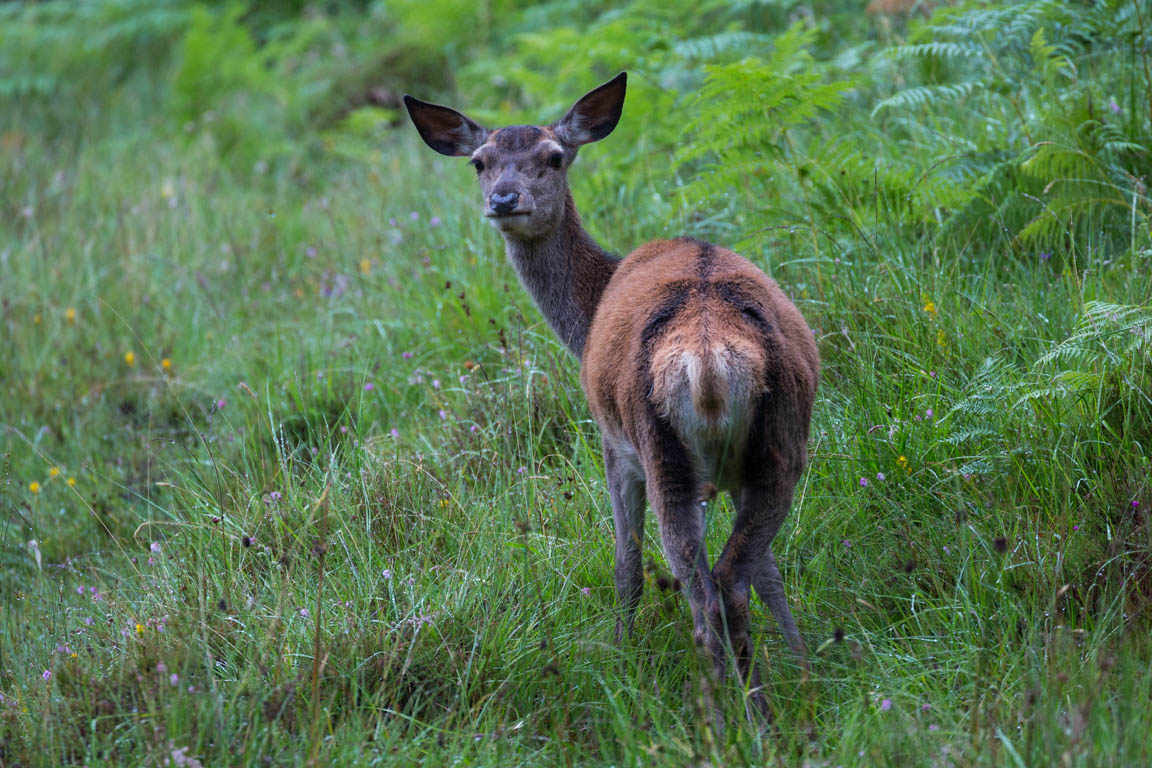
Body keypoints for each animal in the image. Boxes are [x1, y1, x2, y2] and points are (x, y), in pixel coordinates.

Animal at [405, 73, 820, 713]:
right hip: (782, 442)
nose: (504, 199)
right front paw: (802, 665)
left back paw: (719, 714)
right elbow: (772, 574)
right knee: (737, 576)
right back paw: (767, 708)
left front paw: (621, 656)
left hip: (661, 448)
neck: (588, 312)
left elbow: (625, 565)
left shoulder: (612, 444)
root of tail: (710, 359)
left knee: (707, 590)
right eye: (480, 162)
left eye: (554, 156)